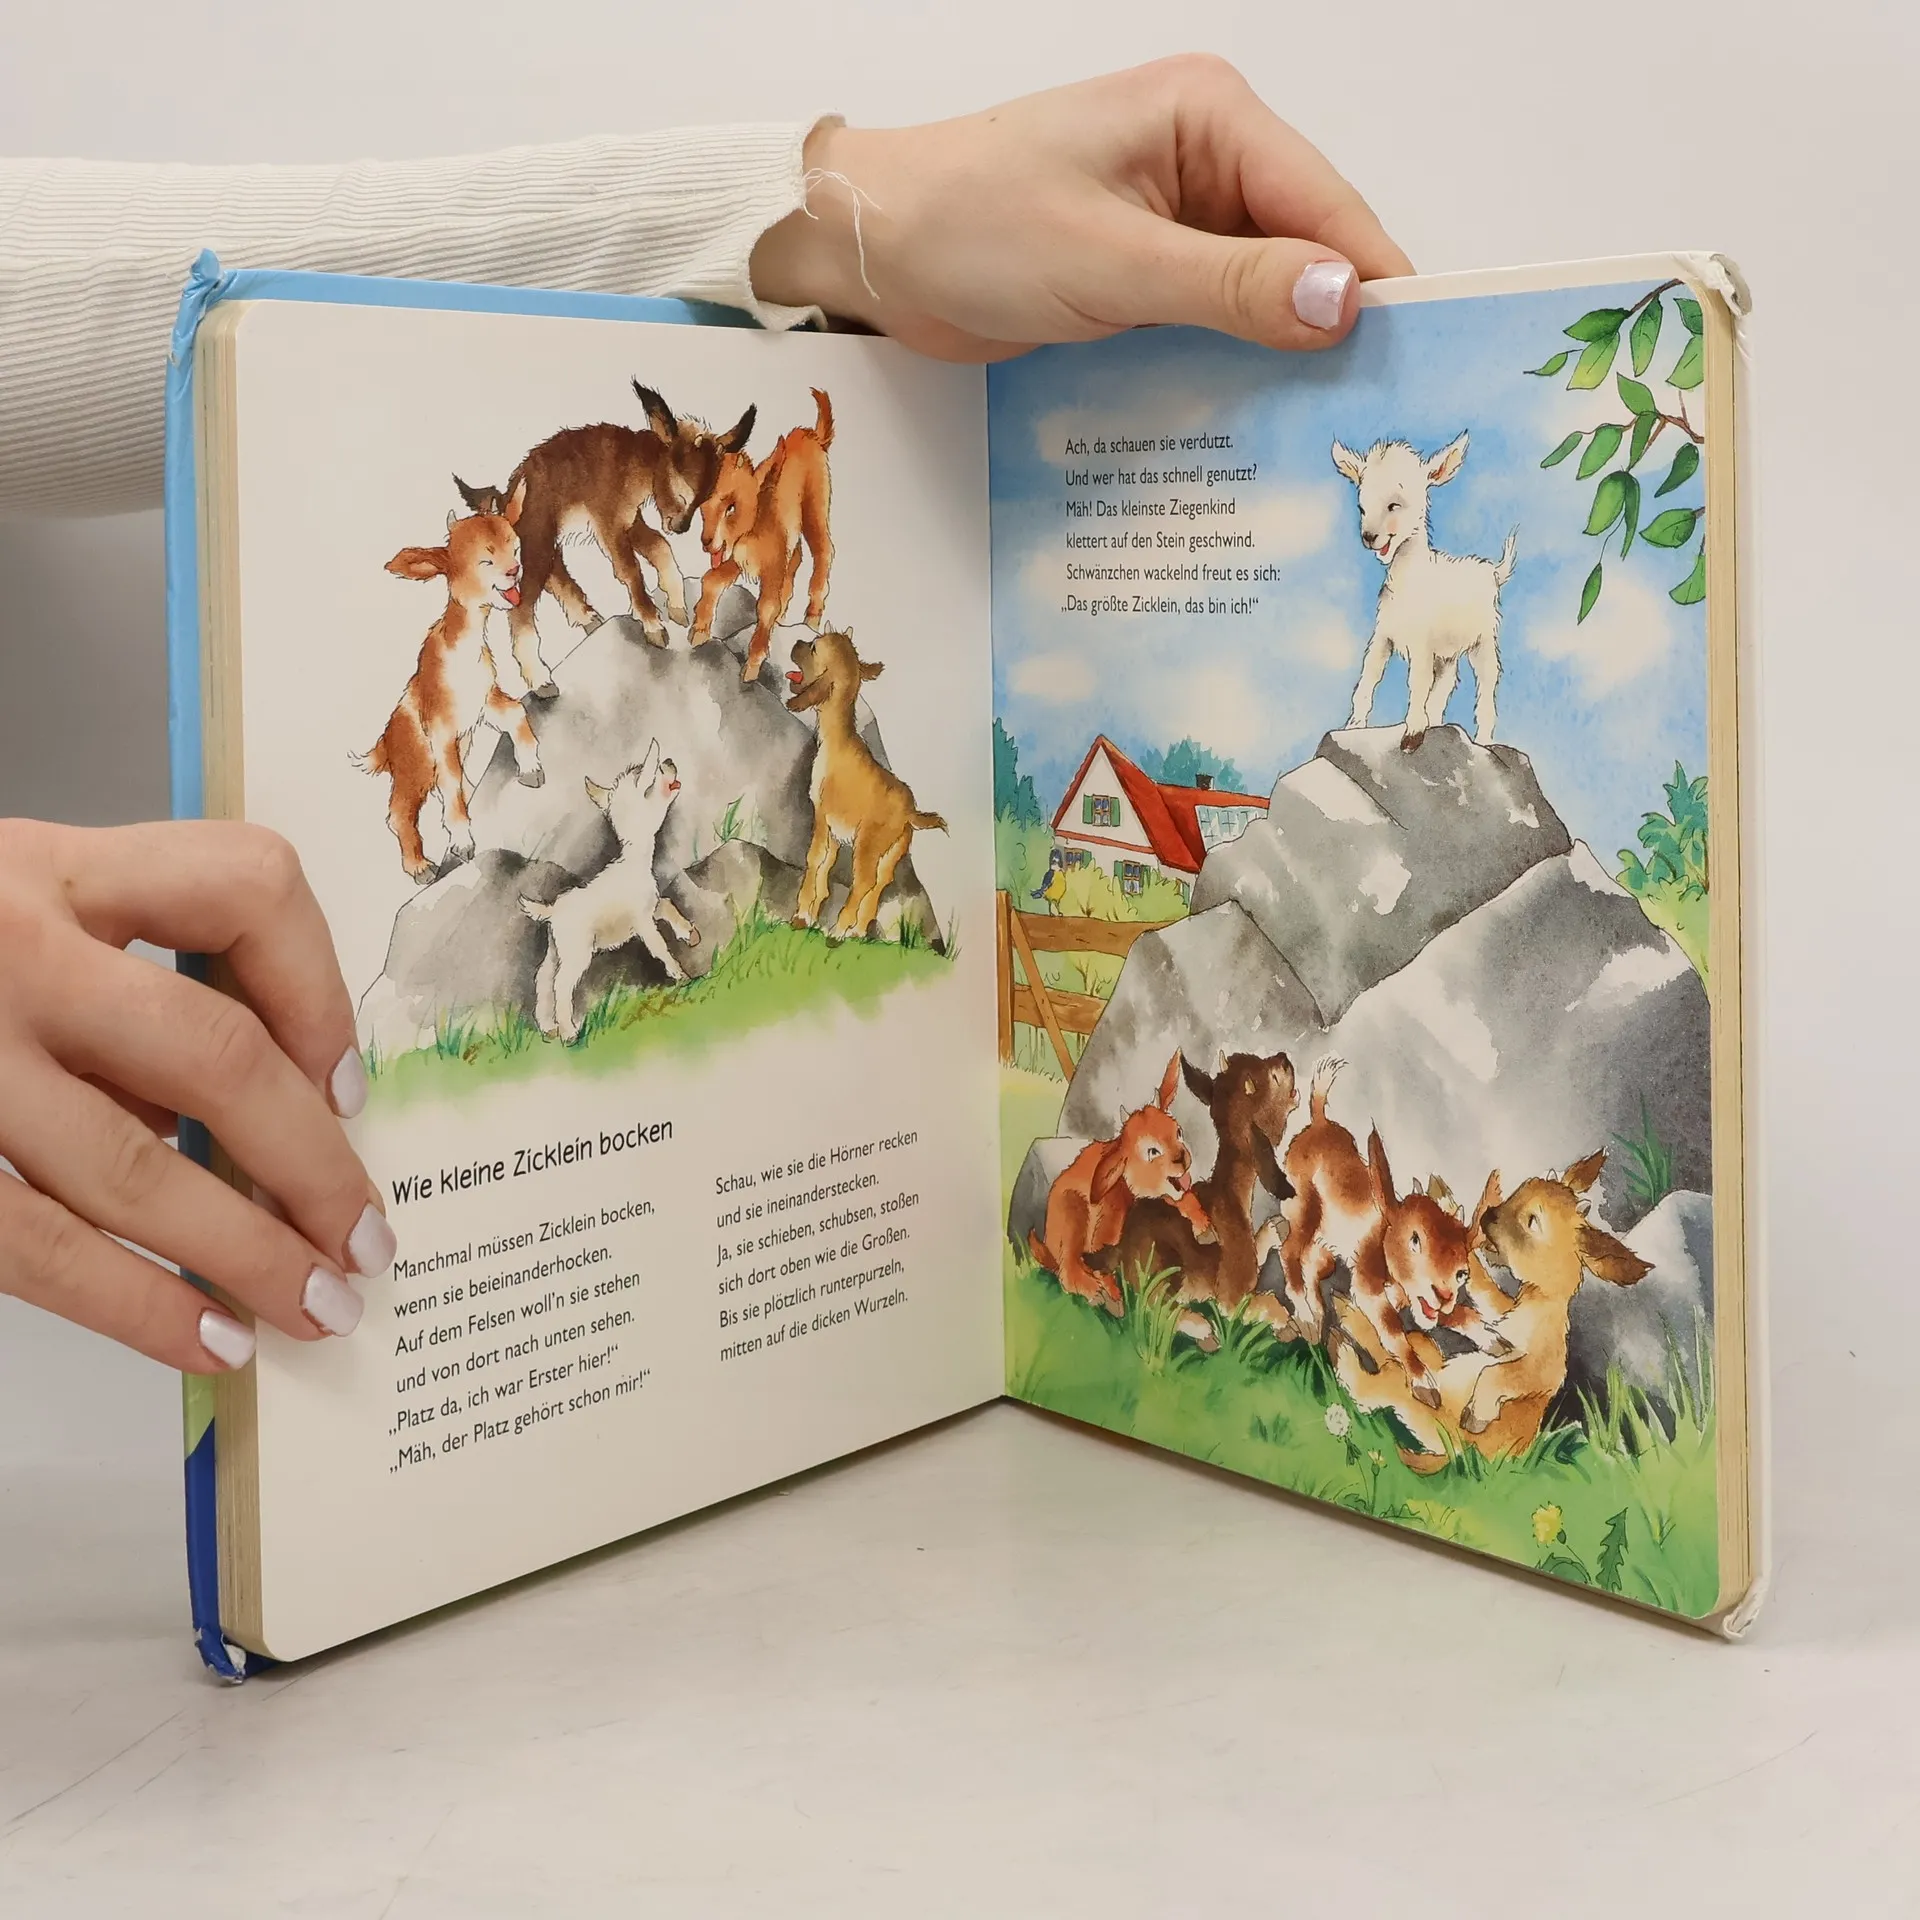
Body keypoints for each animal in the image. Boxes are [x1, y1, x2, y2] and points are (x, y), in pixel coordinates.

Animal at [1331, 432, 1517, 751]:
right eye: (1361, 507)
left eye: (1395, 505)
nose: (1369, 537)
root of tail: (1493, 571)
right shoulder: (1384, 635)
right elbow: (1368, 677)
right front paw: (1354, 725)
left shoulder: (1422, 642)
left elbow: (1417, 682)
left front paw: (1413, 734)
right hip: (1448, 653)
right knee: (1446, 682)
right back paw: (1437, 723)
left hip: (1483, 642)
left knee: (1486, 686)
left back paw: (1482, 740)